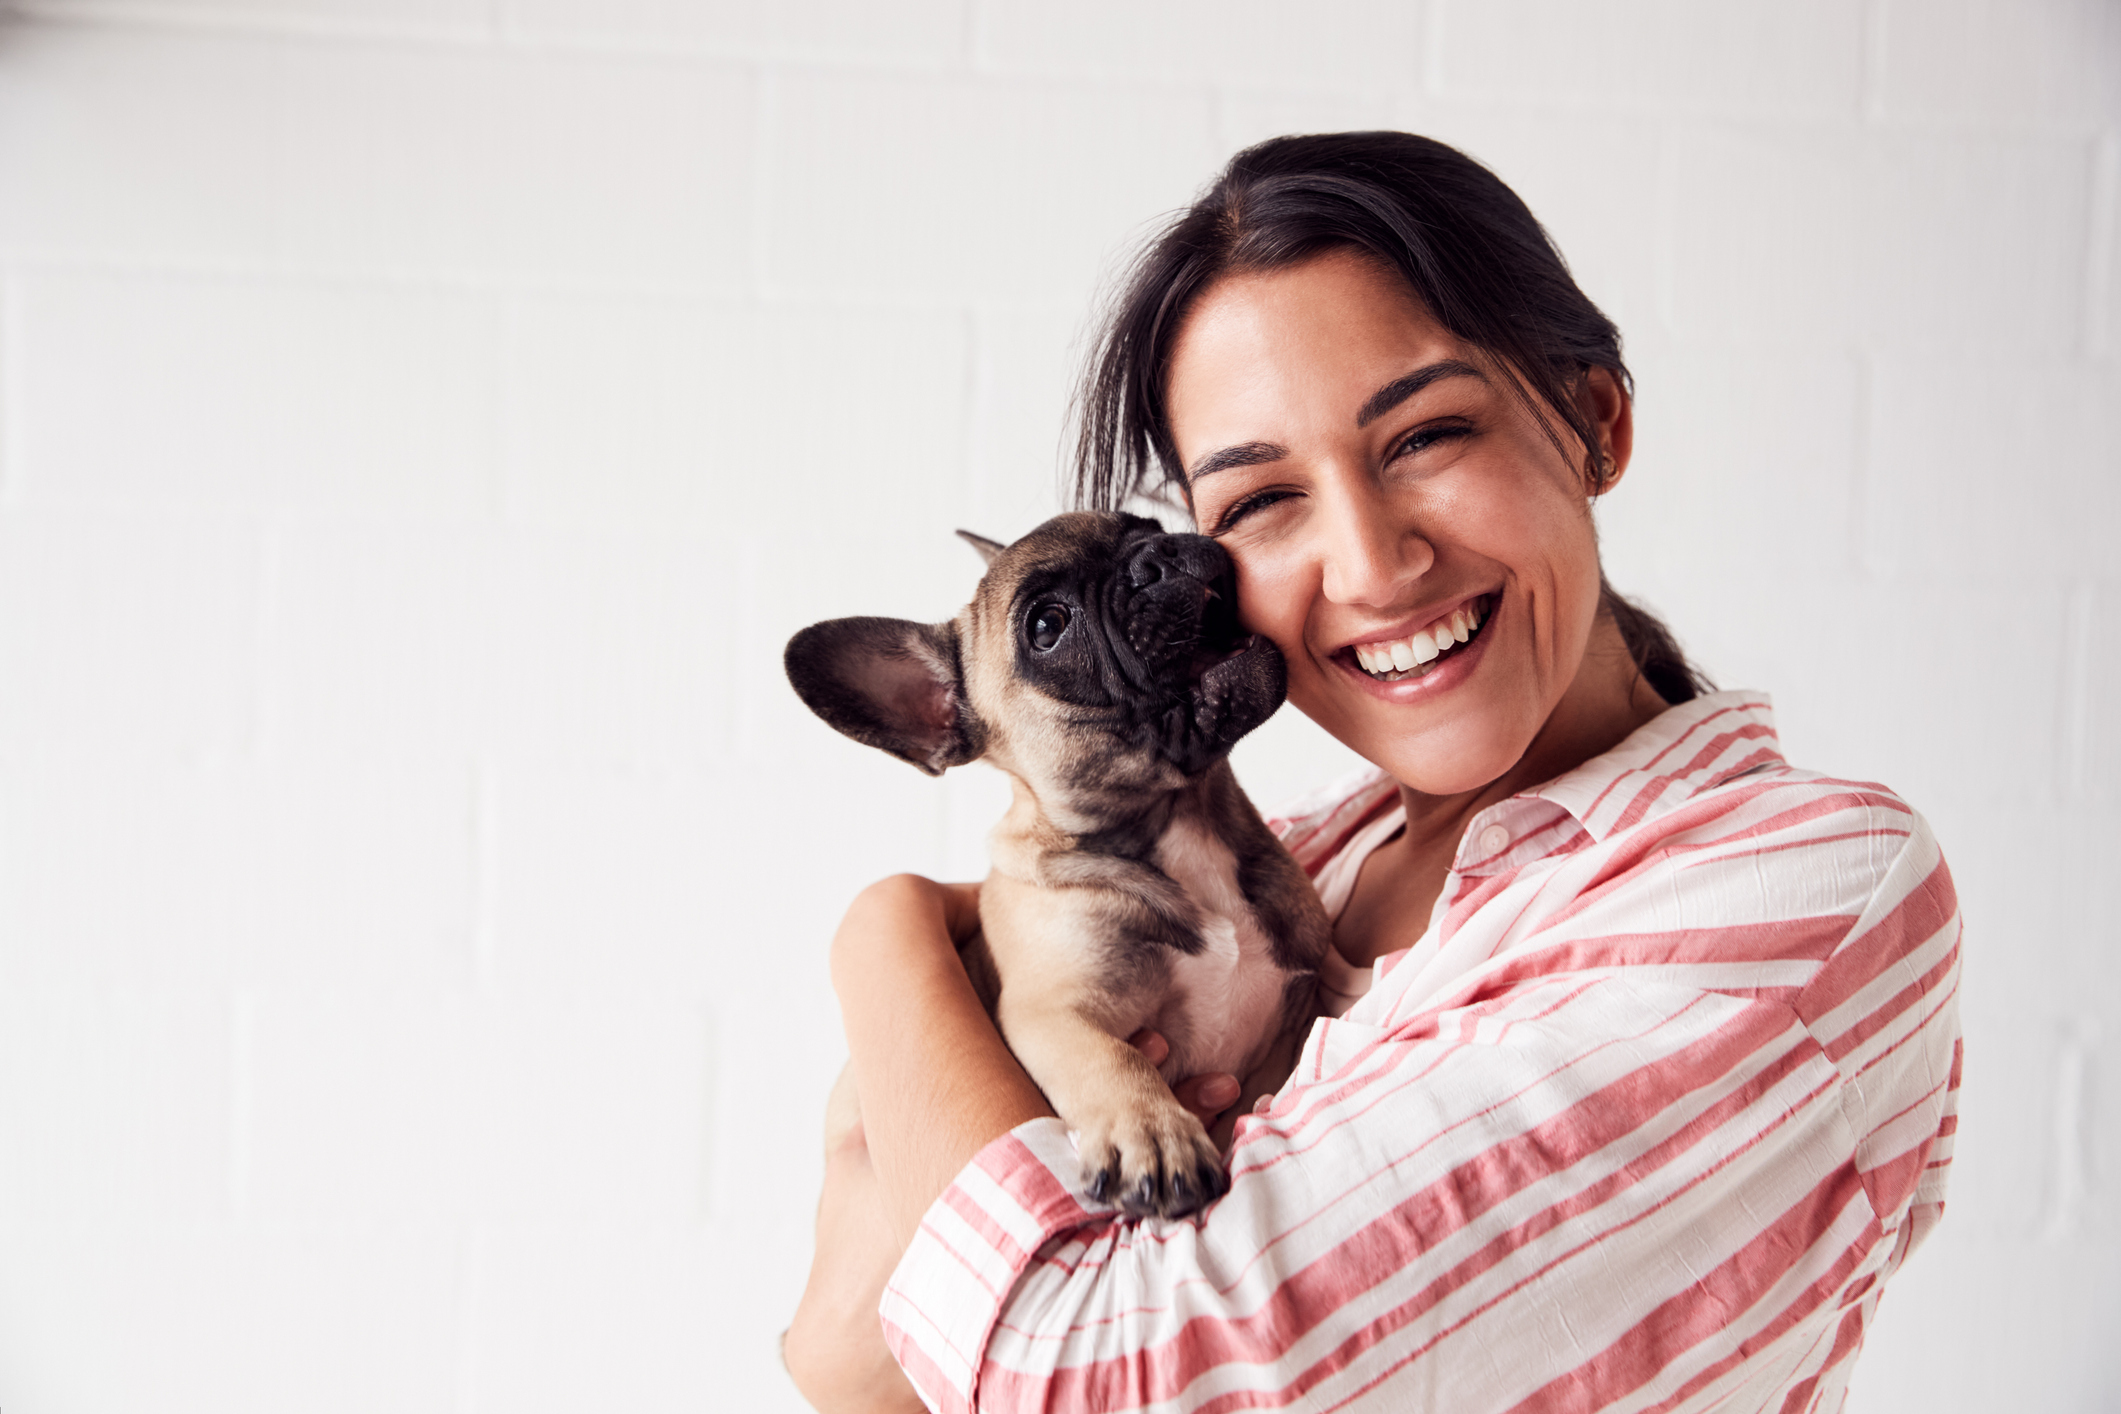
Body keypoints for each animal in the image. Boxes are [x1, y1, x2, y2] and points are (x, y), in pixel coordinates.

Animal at [789, 515, 1323, 1221]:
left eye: (1145, 525)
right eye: (1047, 626)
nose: (1158, 554)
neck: (1178, 820)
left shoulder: (1299, 1008)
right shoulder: (1049, 1013)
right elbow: (1112, 1060)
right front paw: (1152, 1138)